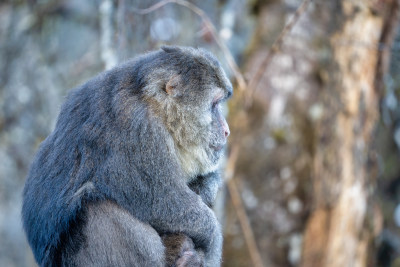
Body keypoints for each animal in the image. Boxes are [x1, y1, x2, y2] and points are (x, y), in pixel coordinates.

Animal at [21, 46, 233, 267]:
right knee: (96, 208)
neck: (154, 104)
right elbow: (163, 202)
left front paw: (208, 184)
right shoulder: (141, 131)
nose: (226, 130)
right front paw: (212, 239)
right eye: (214, 104)